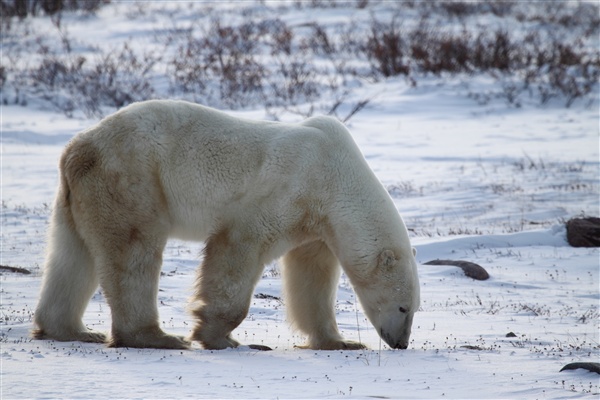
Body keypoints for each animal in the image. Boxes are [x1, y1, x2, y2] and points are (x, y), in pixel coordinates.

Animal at [30, 99, 420, 350]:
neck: (337, 173)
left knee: (71, 256)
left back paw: (71, 330)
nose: (400, 343)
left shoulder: (317, 223)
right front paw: (216, 336)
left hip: (78, 195)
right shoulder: (288, 188)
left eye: (414, 309)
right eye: (404, 307)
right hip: (131, 179)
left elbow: (312, 278)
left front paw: (341, 342)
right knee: (133, 251)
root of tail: (76, 149)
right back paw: (157, 337)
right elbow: (238, 248)